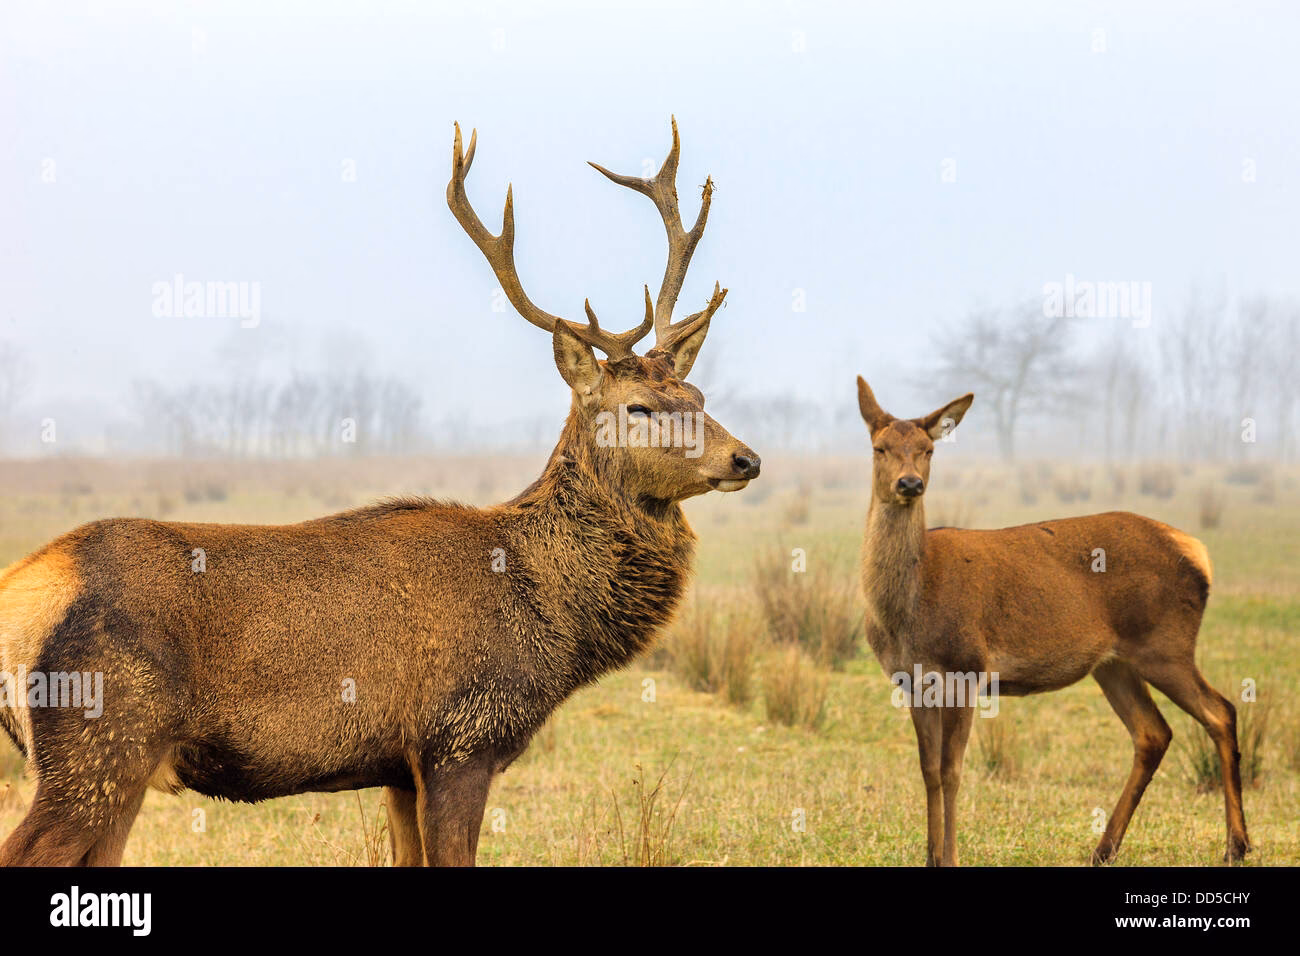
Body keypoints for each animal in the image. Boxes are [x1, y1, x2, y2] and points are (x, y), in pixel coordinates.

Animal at [0, 118, 759, 867]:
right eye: (639, 408)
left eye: (698, 395)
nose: (745, 458)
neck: (549, 613)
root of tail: (24, 591)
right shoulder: (458, 738)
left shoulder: (397, 767)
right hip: (101, 737)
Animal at [854, 376, 1250, 867]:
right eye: (880, 447)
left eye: (928, 449)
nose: (910, 483)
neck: (907, 610)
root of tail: (1198, 551)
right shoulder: (911, 680)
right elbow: (928, 770)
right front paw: (930, 857)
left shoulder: (968, 667)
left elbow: (951, 770)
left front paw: (951, 857)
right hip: (1114, 662)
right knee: (1153, 732)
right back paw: (1104, 848)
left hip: (1165, 644)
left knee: (1221, 712)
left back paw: (1236, 845)